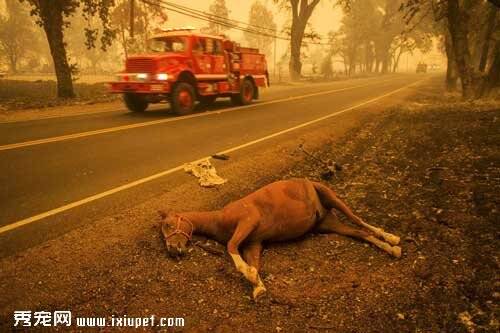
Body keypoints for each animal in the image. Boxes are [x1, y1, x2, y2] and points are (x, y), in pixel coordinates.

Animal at [161, 178, 402, 300]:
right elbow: (254, 264)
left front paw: (248, 274)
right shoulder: (253, 244)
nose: (172, 250)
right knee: (361, 234)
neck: (219, 218)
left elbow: (231, 247)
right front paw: (257, 285)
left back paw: (392, 238)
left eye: (168, 225)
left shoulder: (248, 220)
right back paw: (391, 249)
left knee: (360, 221)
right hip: (329, 224)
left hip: (332, 198)